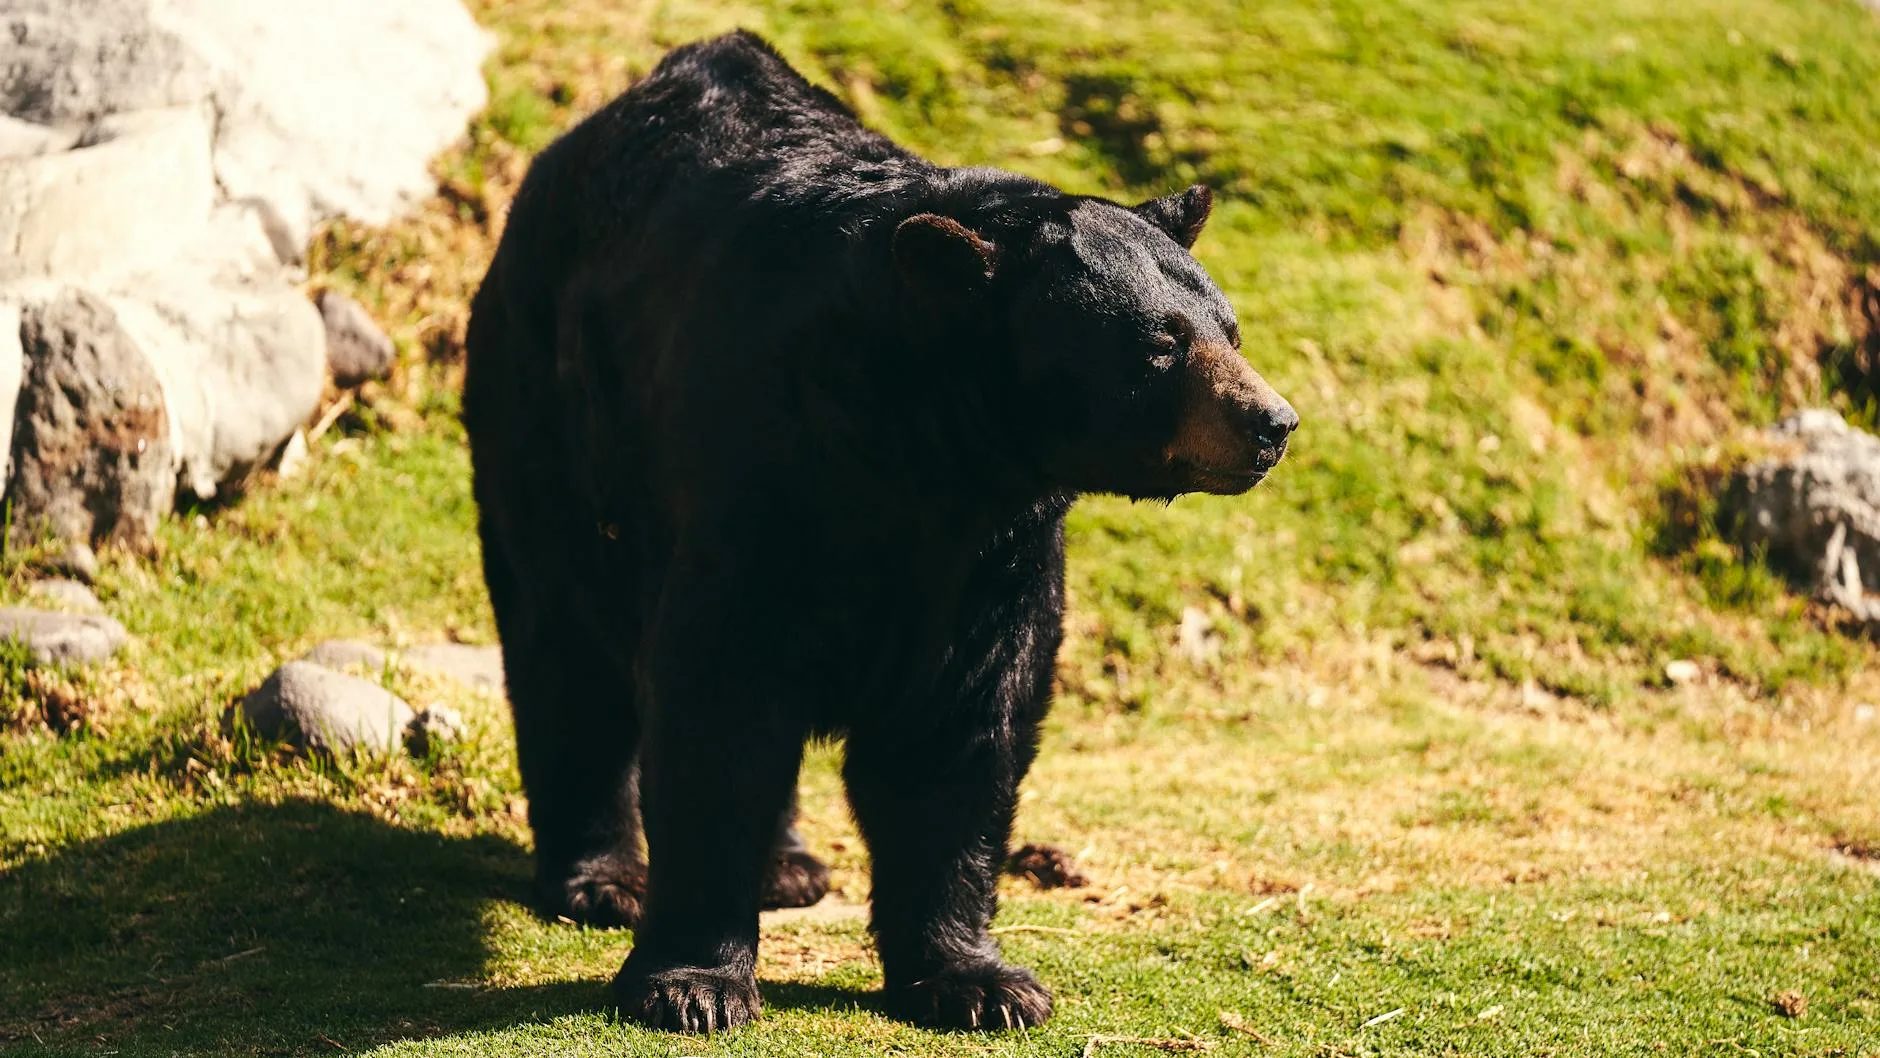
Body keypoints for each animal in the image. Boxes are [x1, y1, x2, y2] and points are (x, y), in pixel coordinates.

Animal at [462, 30, 1297, 1034]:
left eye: (1230, 330)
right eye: (1161, 345)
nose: (1272, 423)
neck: (922, 452)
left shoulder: (992, 556)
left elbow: (963, 730)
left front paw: (979, 980)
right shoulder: (762, 475)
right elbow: (717, 699)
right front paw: (692, 982)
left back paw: (787, 865)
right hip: (549, 417)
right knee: (566, 644)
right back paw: (604, 877)